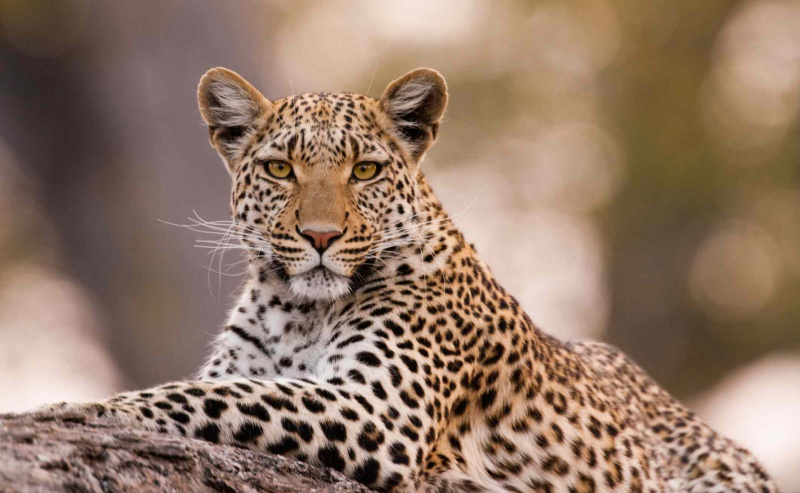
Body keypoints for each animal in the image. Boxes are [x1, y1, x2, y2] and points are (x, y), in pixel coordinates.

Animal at [32, 67, 779, 493]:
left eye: (365, 170)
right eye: (279, 169)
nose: (321, 237)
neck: (296, 311)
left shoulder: (379, 410)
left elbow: (210, 396)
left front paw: (72, 409)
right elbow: (223, 385)